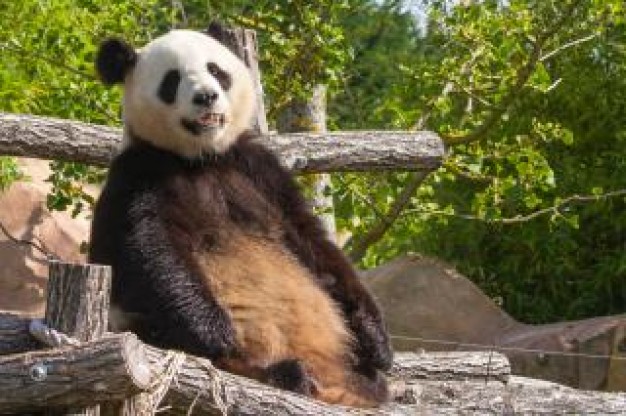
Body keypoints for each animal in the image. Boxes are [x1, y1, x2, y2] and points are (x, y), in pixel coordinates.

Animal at [89, 27, 390, 404]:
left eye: (216, 70)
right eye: (172, 80)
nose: (206, 96)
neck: (201, 158)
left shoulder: (258, 169)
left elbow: (312, 240)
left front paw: (377, 339)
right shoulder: (138, 176)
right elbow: (146, 250)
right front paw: (215, 330)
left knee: (370, 378)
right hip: (141, 327)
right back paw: (284, 373)